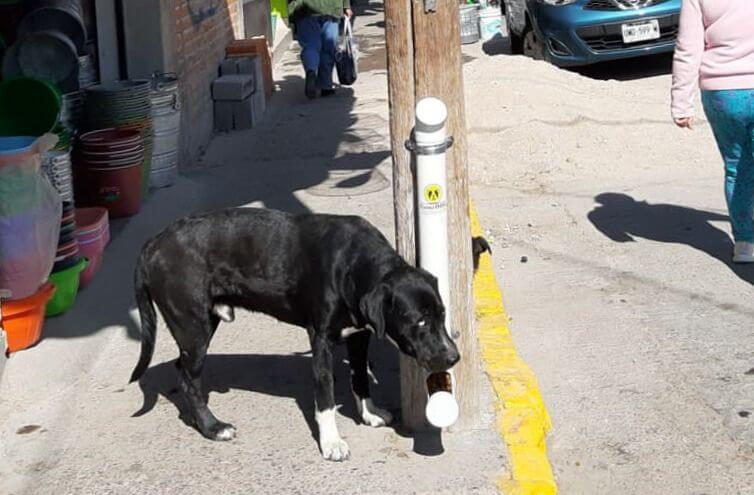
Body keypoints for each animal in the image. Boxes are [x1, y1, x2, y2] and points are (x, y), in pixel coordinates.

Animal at [130, 208, 458, 462]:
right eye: (418, 321)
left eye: (442, 315)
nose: (454, 357)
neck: (354, 264)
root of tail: (152, 243)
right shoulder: (322, 340)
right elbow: (325, 397)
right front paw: (331, 443)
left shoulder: (359, 335)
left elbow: (360, 377)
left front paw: (368, 413)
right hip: (194, 327)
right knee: (188, 378)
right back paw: (212, 427)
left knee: (182, 369)